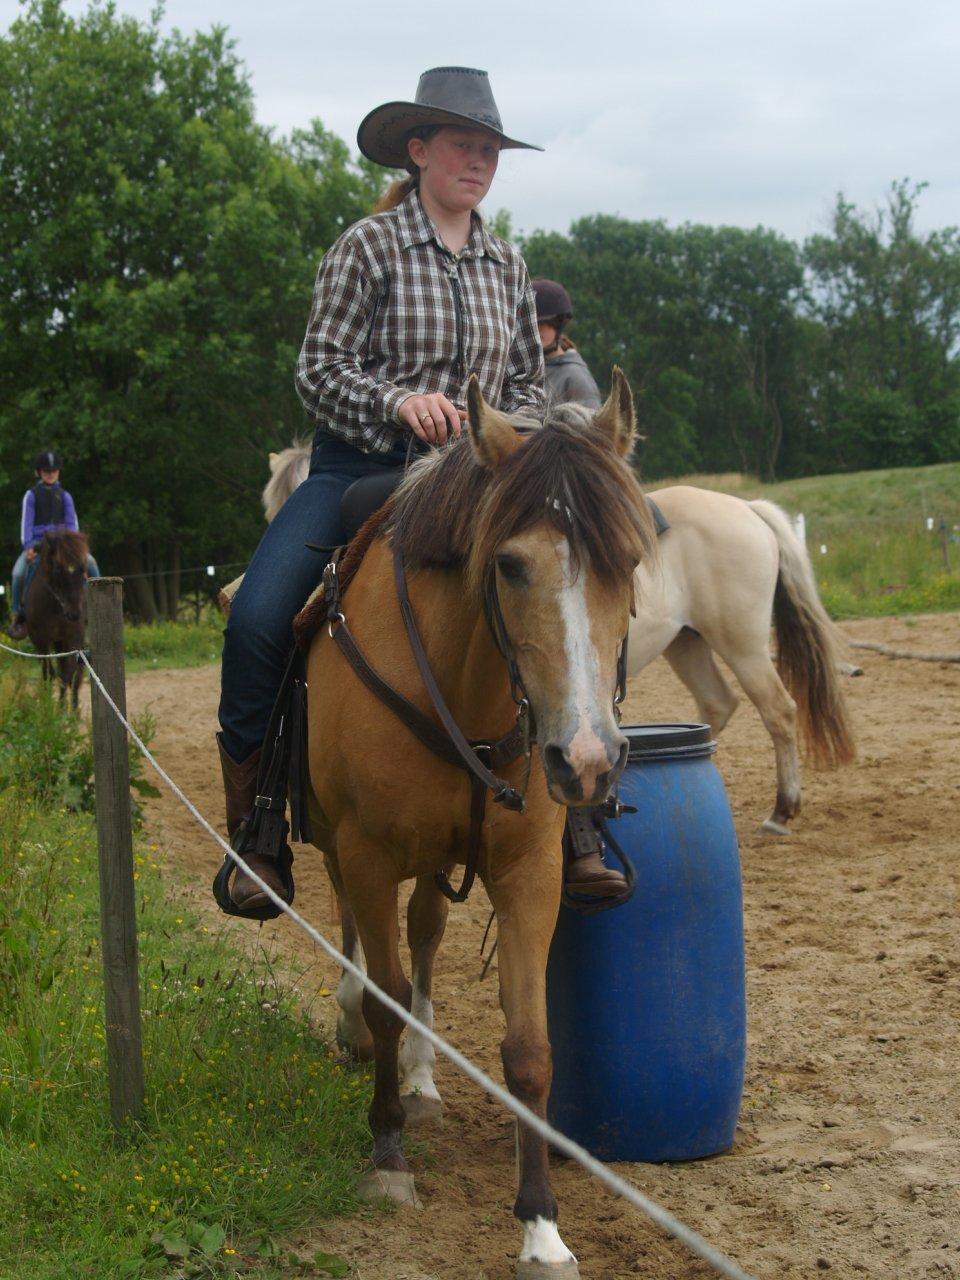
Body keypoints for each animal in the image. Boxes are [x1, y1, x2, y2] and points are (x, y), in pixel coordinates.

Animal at [25, 529, 89, 711]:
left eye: (82, 568)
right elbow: (48, 674)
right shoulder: (40, 640)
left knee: (73, 674)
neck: (56, 608)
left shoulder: (73, 638)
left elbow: (69, 674)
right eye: (58, 569)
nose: (74, 614)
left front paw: (68, 712)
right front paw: (49, 708)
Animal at [300, 373, 655, 1280]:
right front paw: (387, 1157)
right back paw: (354, 1030)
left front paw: (542, 1228)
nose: (588, 759)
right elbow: (387, 996)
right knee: (357, 937)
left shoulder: (530, 872)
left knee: (425, 930)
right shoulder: (365, 851)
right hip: (336, 842)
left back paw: (424, 1081)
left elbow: (529, 1047)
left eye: (630, 559)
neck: (462, 684)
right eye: (509, 563)